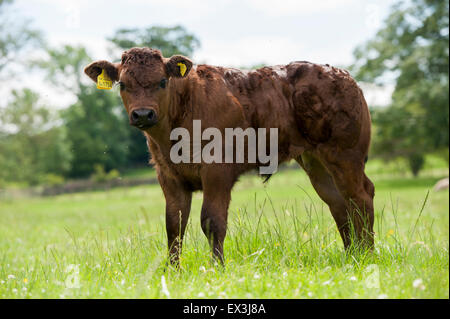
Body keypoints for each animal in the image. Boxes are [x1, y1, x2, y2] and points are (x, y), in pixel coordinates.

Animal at [85, 47, 376, 264]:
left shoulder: (217, 169)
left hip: (344, 154)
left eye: (162, 81)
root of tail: (341, 74)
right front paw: (172, 272)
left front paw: (217, 269)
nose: (143, 114)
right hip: (316, 162)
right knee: (339, 203)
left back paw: (368, 256)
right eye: (123, 84)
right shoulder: (168, 175)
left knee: (361, 197)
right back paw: (352, 255)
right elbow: (174, 226)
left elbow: (212, 221)